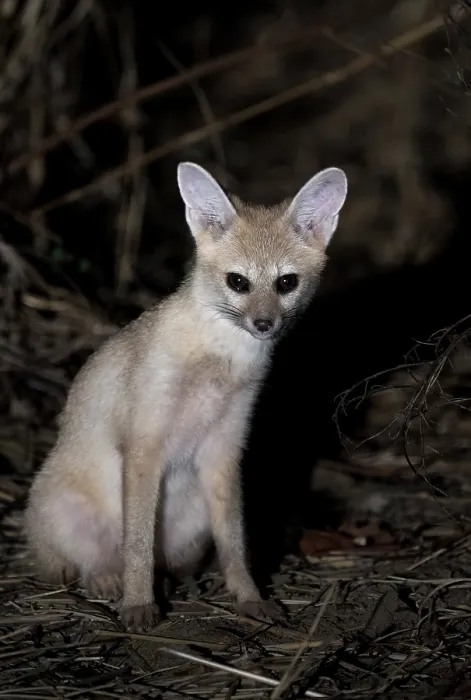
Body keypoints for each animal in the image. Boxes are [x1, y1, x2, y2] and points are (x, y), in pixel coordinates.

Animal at [25, 161, 348, 632]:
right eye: (238, 282)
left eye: (286, 282)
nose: (264, 324)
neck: (218, 360)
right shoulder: (144, 445)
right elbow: (138, 544)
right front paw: (138, 604)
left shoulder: (225, 448)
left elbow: (235, 543)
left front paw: (249, 598)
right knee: (85, 565)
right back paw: (107, 580)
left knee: (170, 563)